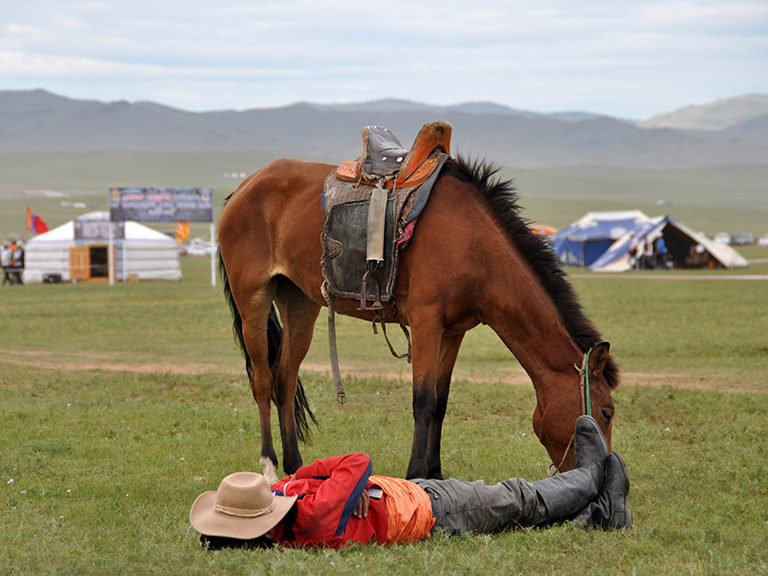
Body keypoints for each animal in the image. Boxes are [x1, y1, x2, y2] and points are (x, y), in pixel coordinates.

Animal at [217, 154, 619, 483]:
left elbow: (440, 403)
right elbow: (423, 401)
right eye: (607, 412)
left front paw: (436, 473)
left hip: (300, 303)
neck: (475, 246)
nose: (604, 469)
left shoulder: (453, 332)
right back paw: (269, 468)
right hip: (253, 300)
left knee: (285, 379)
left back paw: (296, 467)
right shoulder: (427, 322)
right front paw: (416, 475)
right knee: (263, 381)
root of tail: (244, 187)